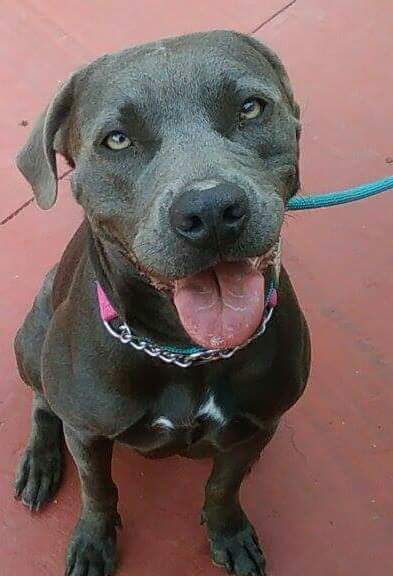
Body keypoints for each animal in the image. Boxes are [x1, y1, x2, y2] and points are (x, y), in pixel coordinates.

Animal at [14, 31, 310, 576]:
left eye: (251, 108)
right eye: (116, 140)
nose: (210, 209)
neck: (184, 350)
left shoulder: (258, 425)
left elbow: (223, 487)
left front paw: (228, 530)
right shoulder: (87, 432)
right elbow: (98, 492)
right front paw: (93, 542)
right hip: (31, 338)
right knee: (44, 402)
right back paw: (40, 463)